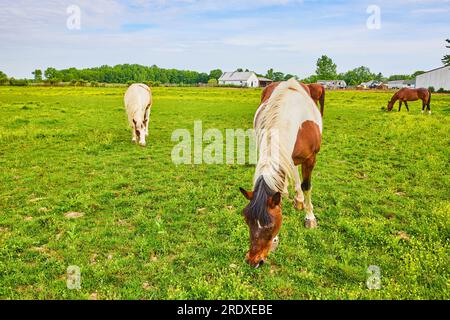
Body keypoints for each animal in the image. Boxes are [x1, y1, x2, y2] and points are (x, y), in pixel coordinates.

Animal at [241, 78, 322, 268]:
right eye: (246, 221)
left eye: (270, 225)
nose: (254, 261)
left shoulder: (311, 159)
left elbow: (306, 186)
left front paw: (310, 217)